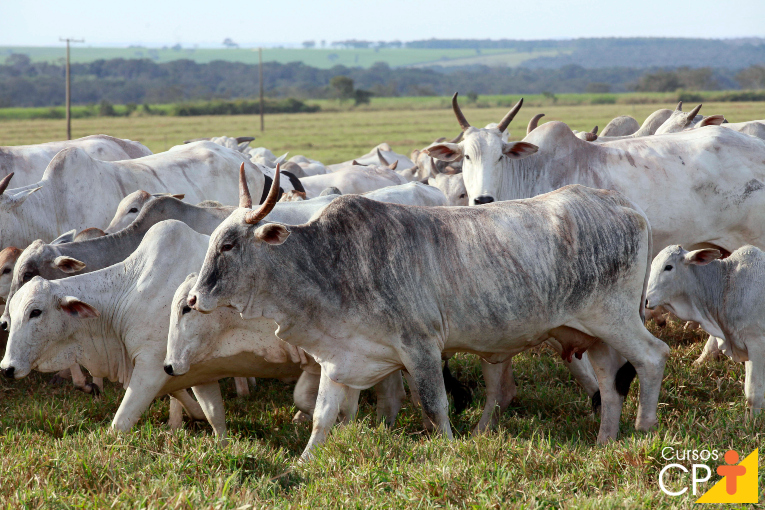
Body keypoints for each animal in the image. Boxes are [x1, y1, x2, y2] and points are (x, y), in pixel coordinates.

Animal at [185, 164, 668, 462]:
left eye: (228, 244)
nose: (193, 299)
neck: (329, 263)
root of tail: (622, 204)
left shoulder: (421, 347)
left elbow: (436, 408)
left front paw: (452, 450)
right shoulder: (341, 359)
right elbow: (321, 417)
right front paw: (303, 461)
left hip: (615, 318)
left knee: (652, 356)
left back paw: (644, 427)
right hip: (594, 332)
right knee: (609, 383)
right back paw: (605, 439)